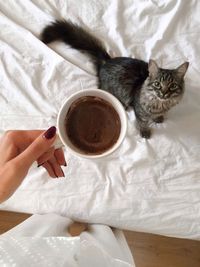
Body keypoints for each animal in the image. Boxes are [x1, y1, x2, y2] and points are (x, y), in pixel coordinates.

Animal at [41, 19, 189, 139]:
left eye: (173, 86)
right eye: (157, 84)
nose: (163, 93)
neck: (160, 104)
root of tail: (107, 61)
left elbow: (158, 116)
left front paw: (159, 118)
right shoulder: (139, 111)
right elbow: (143, 122)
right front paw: (145, 131)